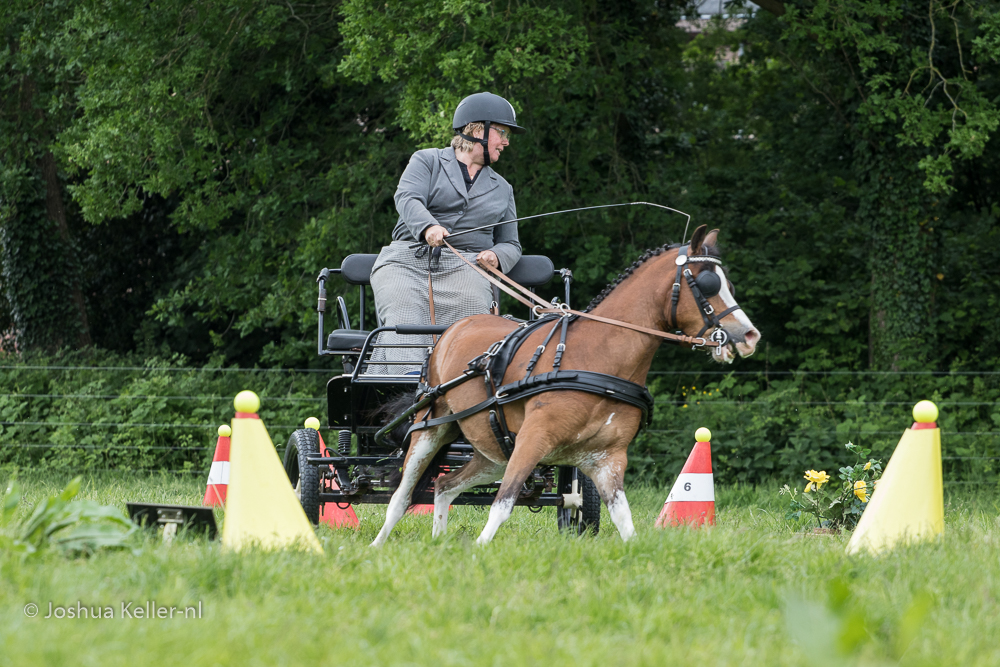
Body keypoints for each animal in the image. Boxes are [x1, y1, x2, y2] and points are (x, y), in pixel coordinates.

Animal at [372, 227, 760, 544]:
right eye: (707, 284)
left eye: (729, 284)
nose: (749, 336)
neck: (596, 359)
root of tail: (454, 328)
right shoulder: (533, 440)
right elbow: (503, 503)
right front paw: (479, 552)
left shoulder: (607, 459)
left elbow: (624, 521)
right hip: (431, 428)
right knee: (402, 495)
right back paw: (378, 545)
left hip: (491, 452)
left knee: (443, 486)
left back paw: (439, 542)